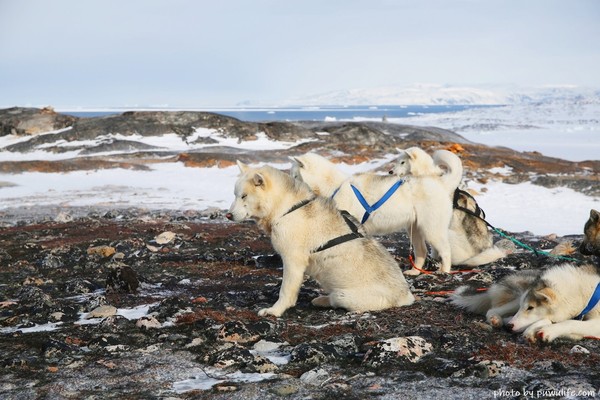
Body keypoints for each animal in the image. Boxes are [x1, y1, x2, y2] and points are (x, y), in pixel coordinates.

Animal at [225, 161, 412, 318]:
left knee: (337, 301)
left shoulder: (293, 261)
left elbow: (285, 292)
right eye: (235, 195)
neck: (287, 209)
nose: (228, 215)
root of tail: (406, 296)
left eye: (244, 196)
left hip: (343, 295)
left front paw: (274, 311)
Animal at [450, 208, 600, 342]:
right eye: (526, 306)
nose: (510, 327)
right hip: (516, 298)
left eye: (531, 307)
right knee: (492, 311)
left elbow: (570, 323)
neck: (590, 294)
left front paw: (547, 331)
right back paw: (498, 319)